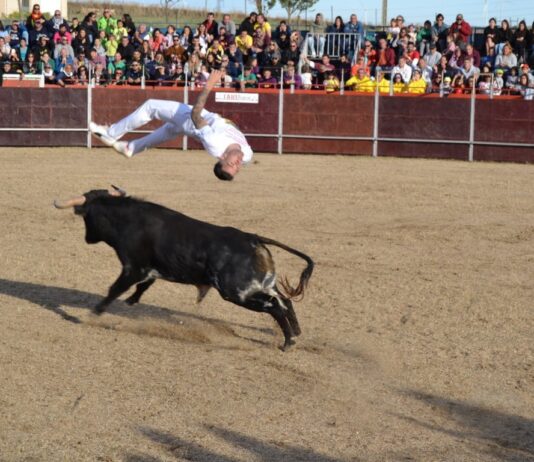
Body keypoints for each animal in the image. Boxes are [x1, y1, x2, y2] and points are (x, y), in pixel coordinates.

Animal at [55, 189, 314, 350]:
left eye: (87, 217)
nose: (87, 238)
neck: (128, 221)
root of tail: (252, 238)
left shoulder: (133, 268)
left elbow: (114, 290)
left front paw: (93, 314)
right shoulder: (149, 270)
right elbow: (143, 287)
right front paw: (131, 301)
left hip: (236, 292)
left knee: (274, 306)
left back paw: (288, 342)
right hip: (261, 285)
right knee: (284, 301)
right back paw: (296, 332)